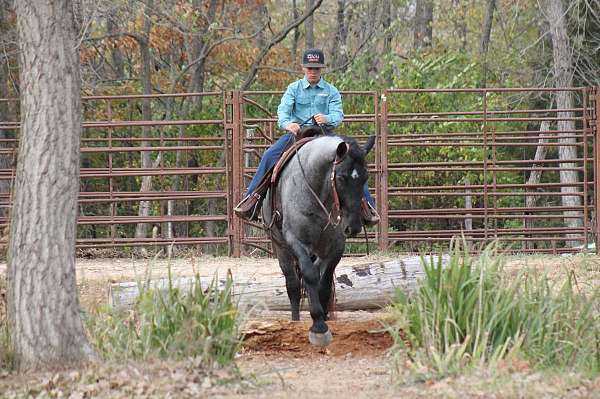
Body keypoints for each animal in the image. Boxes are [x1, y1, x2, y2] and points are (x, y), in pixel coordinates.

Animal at [264, 134, 376, 346]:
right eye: (341, 177)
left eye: (366, 177)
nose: (353, 227)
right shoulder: (295, 240)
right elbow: (308, 275)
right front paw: (318, 327)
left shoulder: (336, 246)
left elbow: (324, 282)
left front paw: (324, 318)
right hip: (280, 246)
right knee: (293, 284)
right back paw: (295, 321)